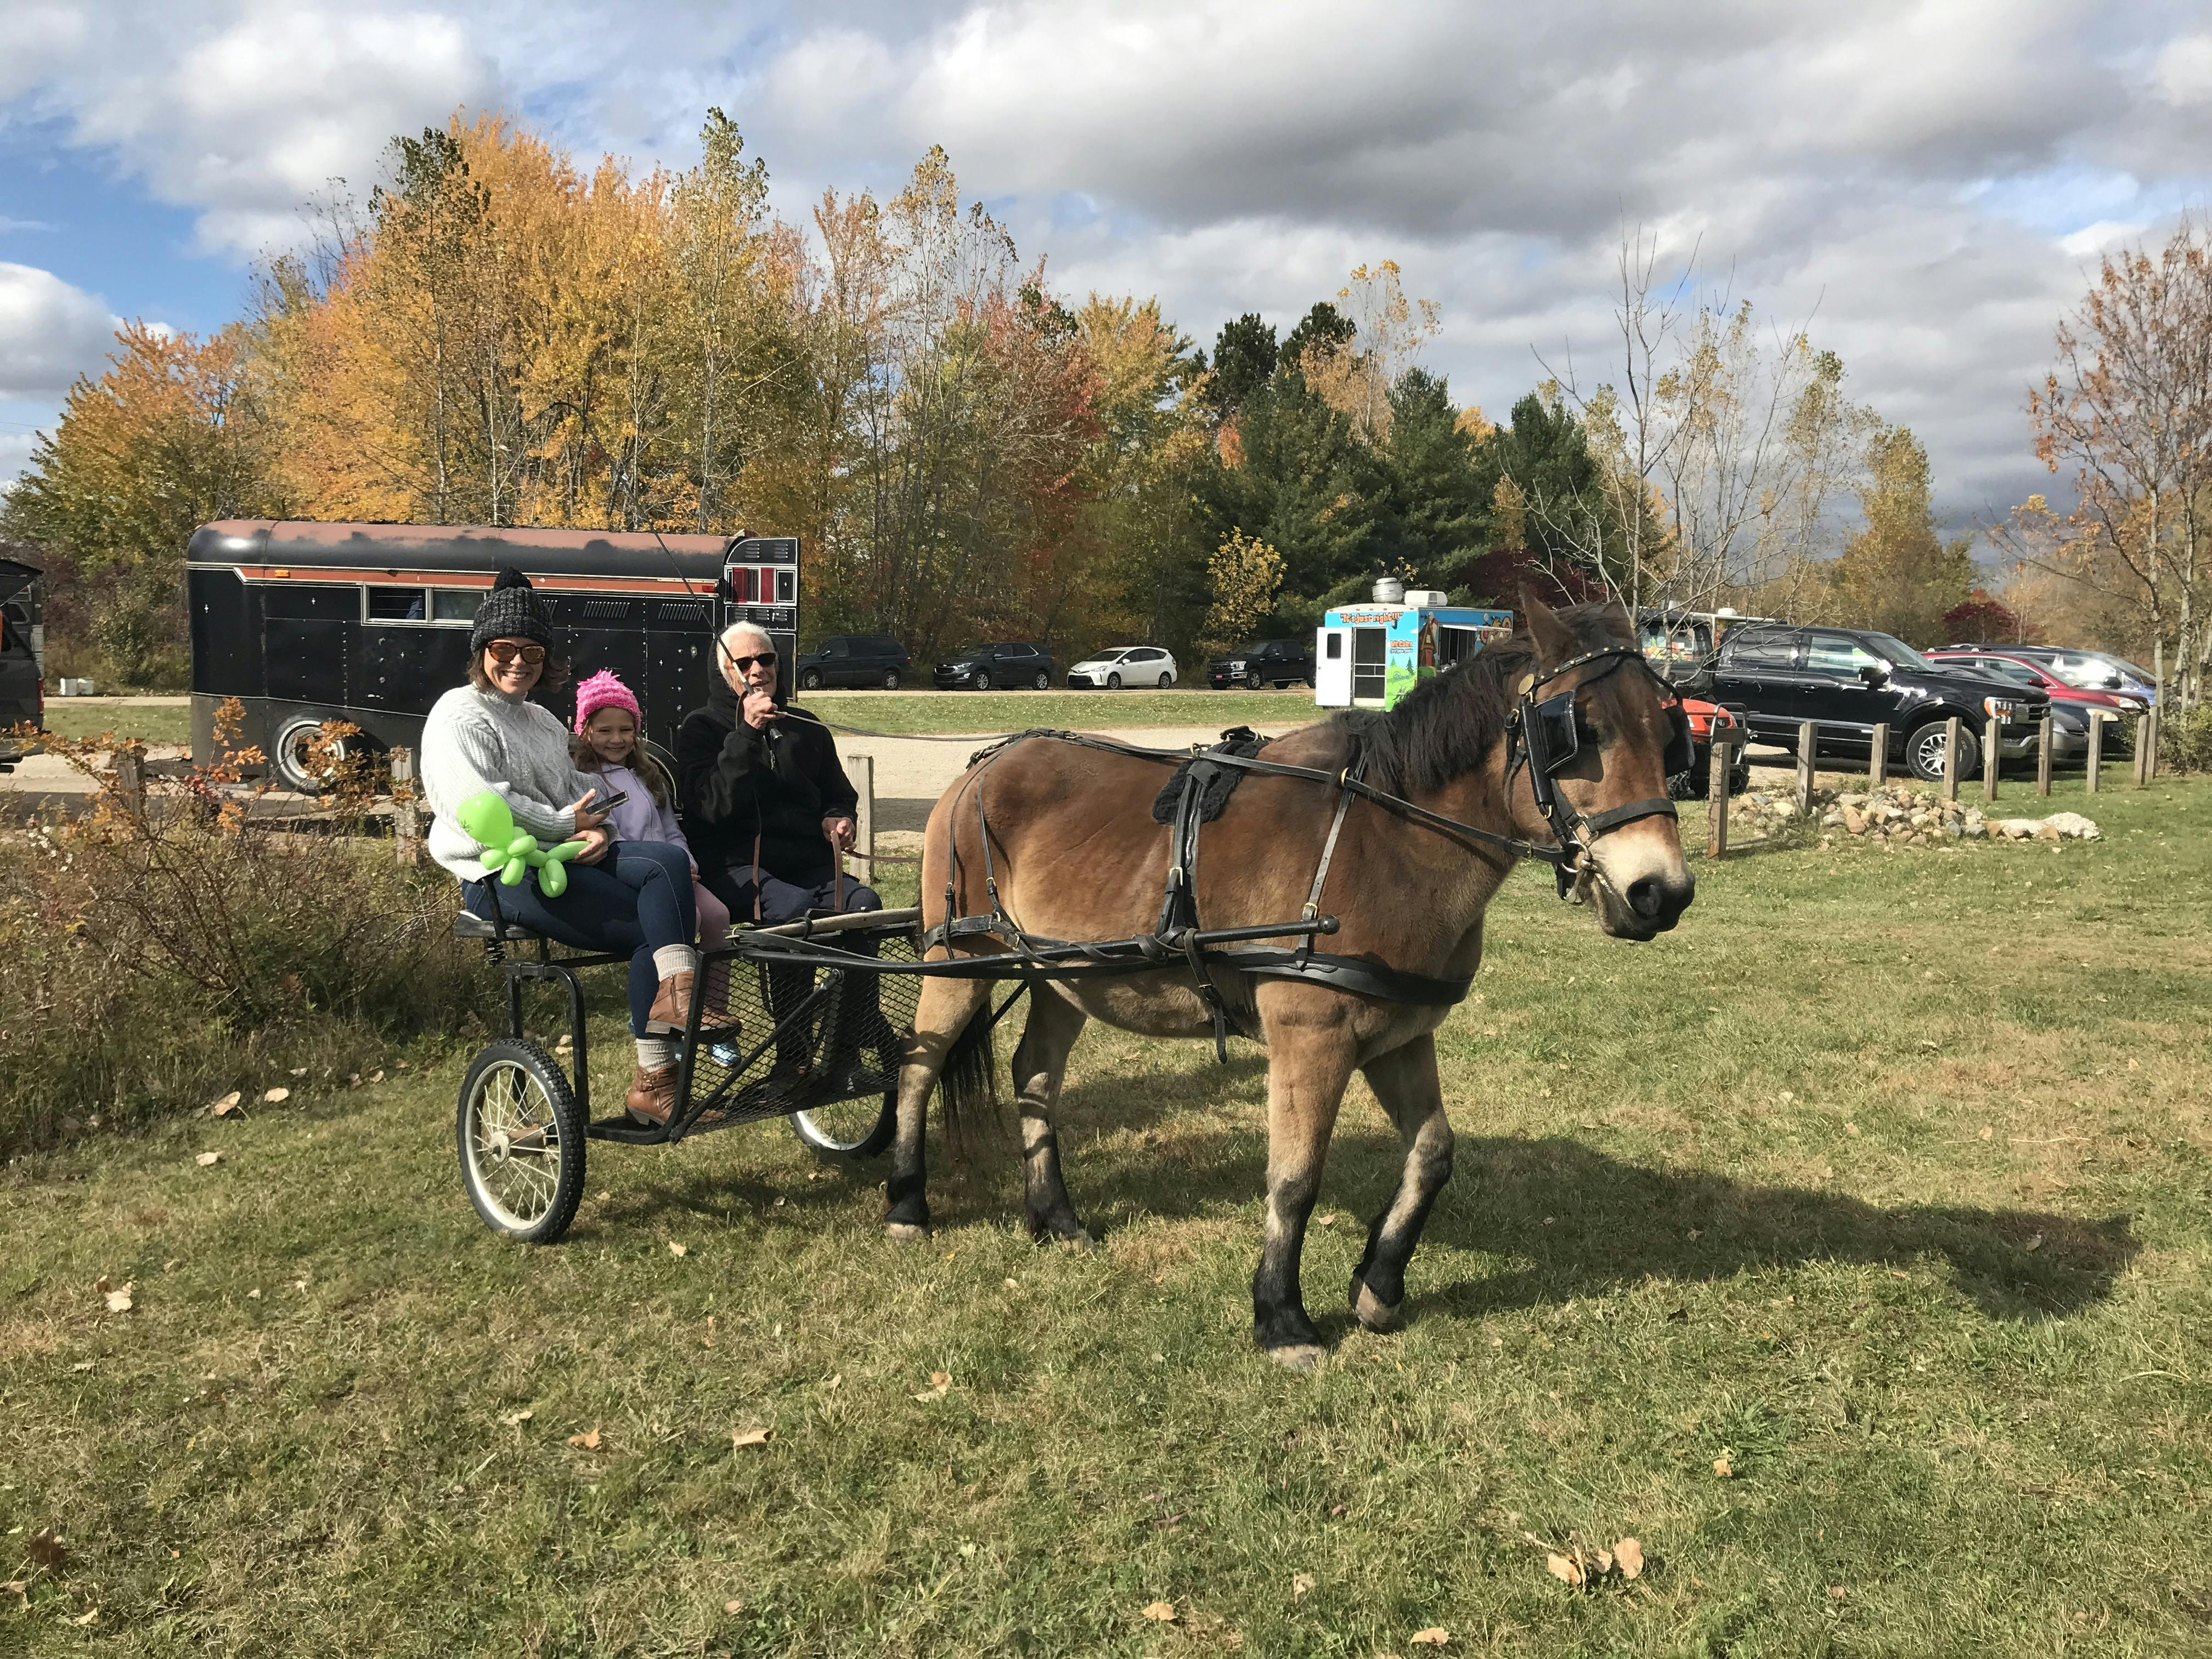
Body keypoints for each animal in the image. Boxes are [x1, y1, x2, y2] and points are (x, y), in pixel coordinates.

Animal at [880, 601, 1690, 1380]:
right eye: (1578, 731)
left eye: (1671, 734)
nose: (1662, 893)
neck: (1387, 841)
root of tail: (982, 765)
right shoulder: (1312, 1038)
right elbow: (1296, 1179)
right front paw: (1282, 1317)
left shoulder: (1400, 1037)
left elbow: (1433, 1154)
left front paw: (1379, 1284)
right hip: (958, 959)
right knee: (919, 1068)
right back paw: (907, 1203)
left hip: (1065, 977)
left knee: (1035, 1078)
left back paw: (1055, 1217)